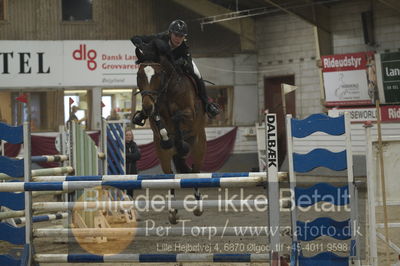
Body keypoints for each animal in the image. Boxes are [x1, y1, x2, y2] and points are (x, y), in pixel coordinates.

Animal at [136, 46, 208, 224]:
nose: (146, 106)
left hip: (199, 145)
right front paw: (168, 139)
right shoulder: (155, 114)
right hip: (162, 155)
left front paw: (181, 144)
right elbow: (160, 123)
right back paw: (172, 211)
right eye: (139, 75)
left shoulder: (190, 115)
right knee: (169, 175)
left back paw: (198, 207)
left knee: (195, 171)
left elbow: (177, 118)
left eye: (157, 75)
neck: (168, 88)